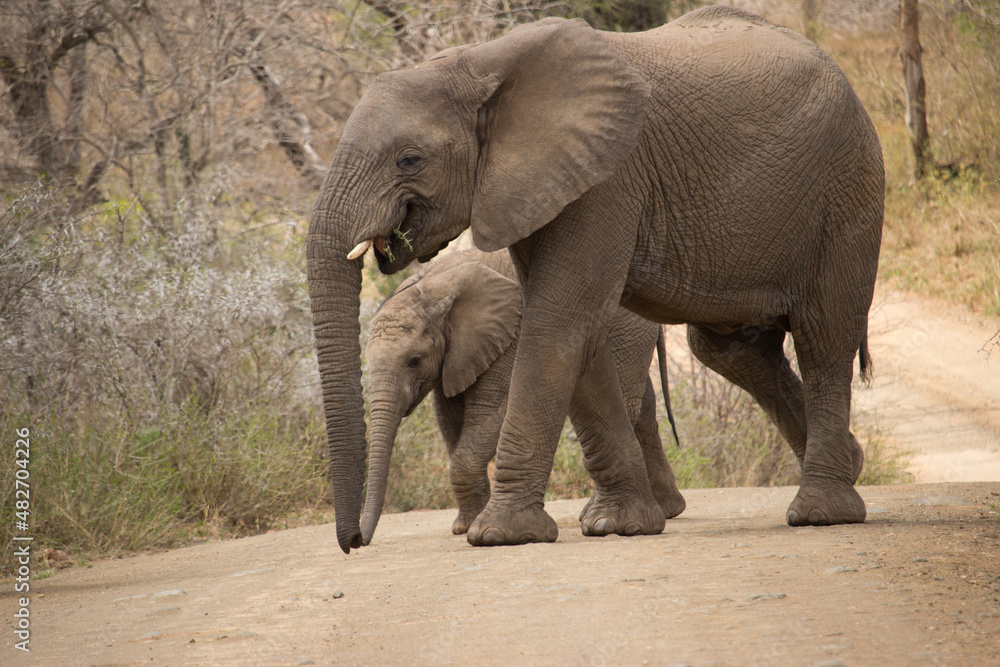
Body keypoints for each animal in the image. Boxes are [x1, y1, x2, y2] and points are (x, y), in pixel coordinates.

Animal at [360, 248, 685, 543]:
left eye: (414, 360)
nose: (359, 540)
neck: (431, 284)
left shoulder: (507, 336)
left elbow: (491, 415)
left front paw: (474, 526)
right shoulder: (453, 357)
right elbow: (450, 421)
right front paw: (465, 526)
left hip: (628, 332)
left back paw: (598, 516)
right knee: (643, 409)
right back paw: (666, 510)